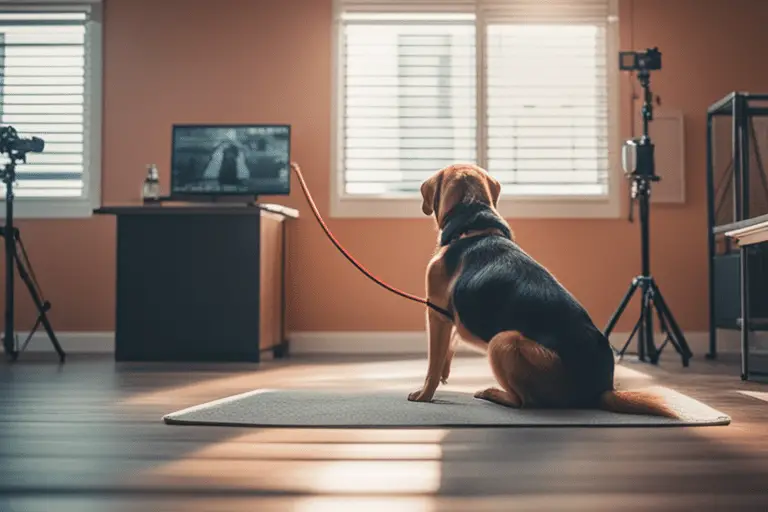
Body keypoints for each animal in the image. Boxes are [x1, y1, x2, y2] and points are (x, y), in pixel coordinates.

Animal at [408, 162, 680, 418]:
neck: (473, 224)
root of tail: (601, 390)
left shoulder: (436, 312)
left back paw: (492, 392)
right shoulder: (446, 316)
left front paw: (424, 395)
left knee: (523, 402)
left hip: (503, 341)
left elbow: (432, 364)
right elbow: (446, 351)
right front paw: (445, 374)